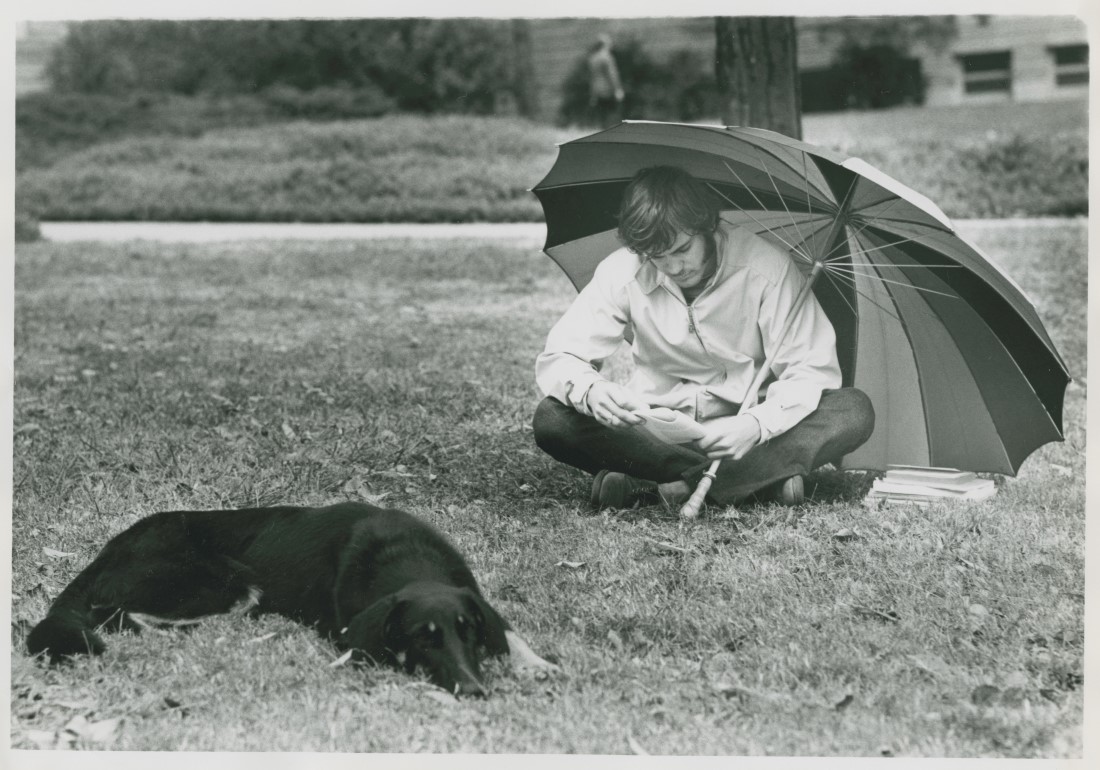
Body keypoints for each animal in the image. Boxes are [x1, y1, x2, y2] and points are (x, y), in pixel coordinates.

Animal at [25, 501, 558, 695]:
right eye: (422, 639)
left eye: (468, 633)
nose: (476, 690)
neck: (404, 556)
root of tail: (112, 545)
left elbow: (508, 628)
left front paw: (536, 663)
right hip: (225, 583)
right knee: (117, 614)